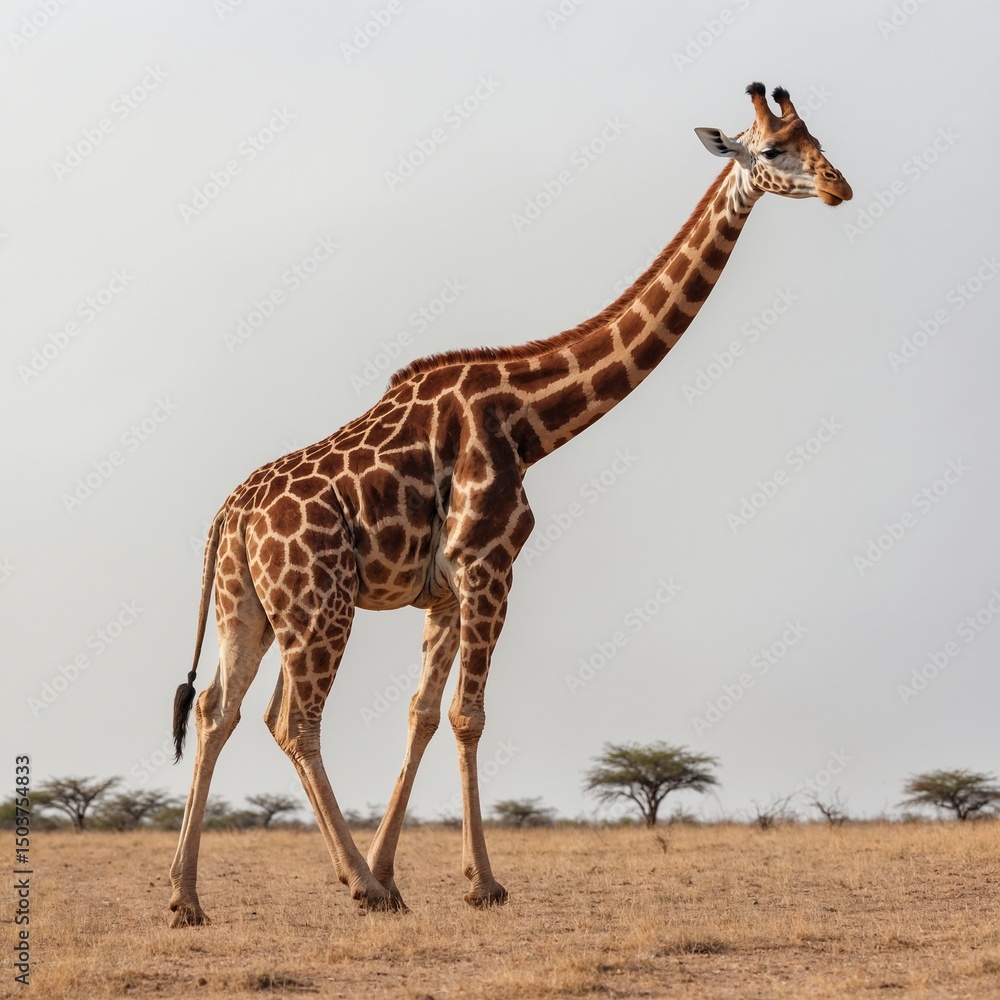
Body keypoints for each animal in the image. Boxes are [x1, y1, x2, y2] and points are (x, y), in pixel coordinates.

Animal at [168, 83, 852, 924]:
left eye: (819, 140)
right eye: (774, 150)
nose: (839, 187)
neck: (531, 420)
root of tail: (229, 516)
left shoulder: (443, 590)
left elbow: (422, 714)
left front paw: (400, 870)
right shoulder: (489, 565)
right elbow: (469, 716)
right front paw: (479, 883)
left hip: (248, 607)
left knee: (217, 711)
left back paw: (189, 897)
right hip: (316, 602)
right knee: (290, 721)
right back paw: (355, 885)